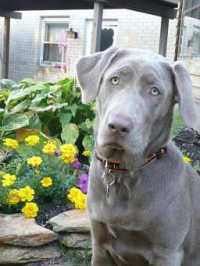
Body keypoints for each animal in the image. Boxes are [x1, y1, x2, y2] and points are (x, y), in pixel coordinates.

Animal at [76, 48, 200, 266]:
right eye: (115, 80)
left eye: (155, 91)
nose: (118, 126)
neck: (123, 173)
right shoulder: (99, 245)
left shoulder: (167, 252)